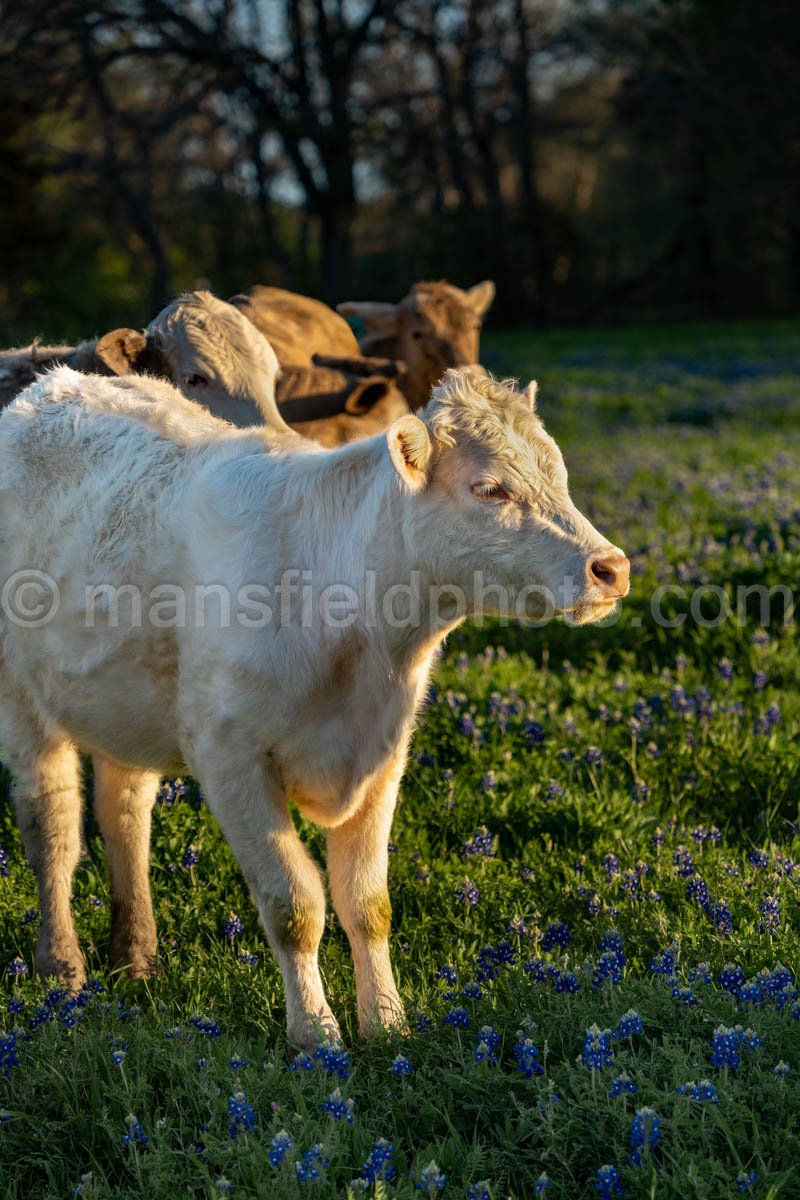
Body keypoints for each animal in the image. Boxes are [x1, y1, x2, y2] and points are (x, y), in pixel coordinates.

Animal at [0, 362, 628, 1041]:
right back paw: (61, 966)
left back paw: (136, 956)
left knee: (124, 815)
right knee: (54, 826)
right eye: (489, 489)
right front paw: (315, 1033)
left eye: (558, 476)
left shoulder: (383, 755)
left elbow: (367, 903)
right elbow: (294, 905)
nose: (611, 568)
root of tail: (50, 383)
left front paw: (386, 1021)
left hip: (125, 702)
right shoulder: (229, 758)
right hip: (21, 700)